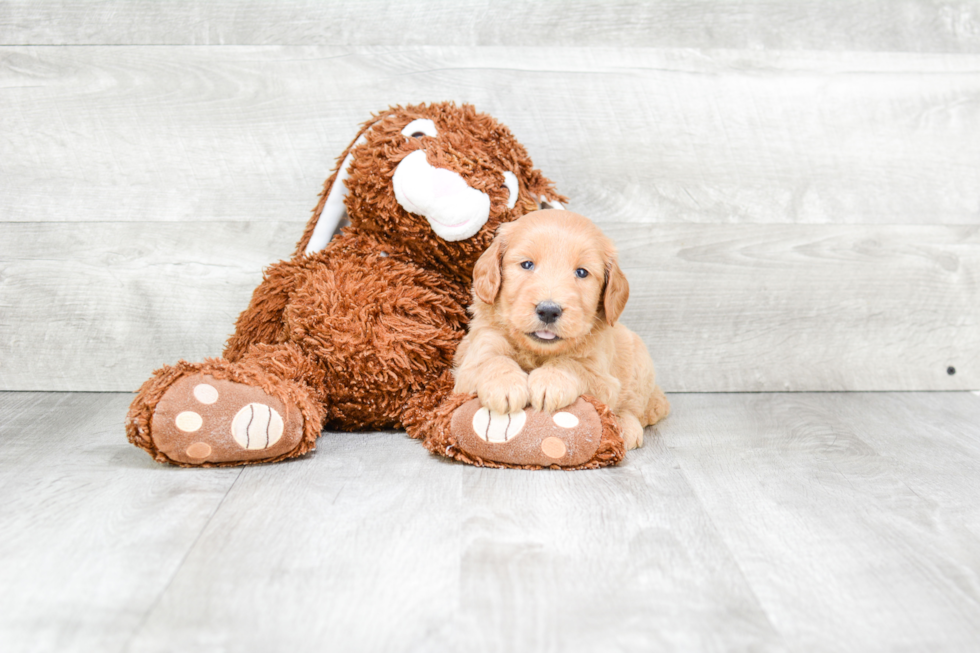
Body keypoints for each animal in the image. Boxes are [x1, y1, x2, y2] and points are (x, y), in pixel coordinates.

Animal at [454, 209, 668, 448]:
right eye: (527, 265)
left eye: (582, 272)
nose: (548, 311)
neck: (538, 352)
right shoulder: (473, 358)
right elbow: (492, 360)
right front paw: (504, 384)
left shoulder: (602, 377)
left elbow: (572, 364)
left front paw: (550, 381)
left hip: (639, 362)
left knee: (634, 408)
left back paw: (625, 427)